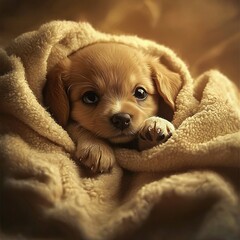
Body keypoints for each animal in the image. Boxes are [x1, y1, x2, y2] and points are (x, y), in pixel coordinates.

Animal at [43, 42, 182, 172]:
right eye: (90, 97)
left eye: (140, 92)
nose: (122, 119)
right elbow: (76, 126)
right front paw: (97, 147)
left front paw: (156, 124)